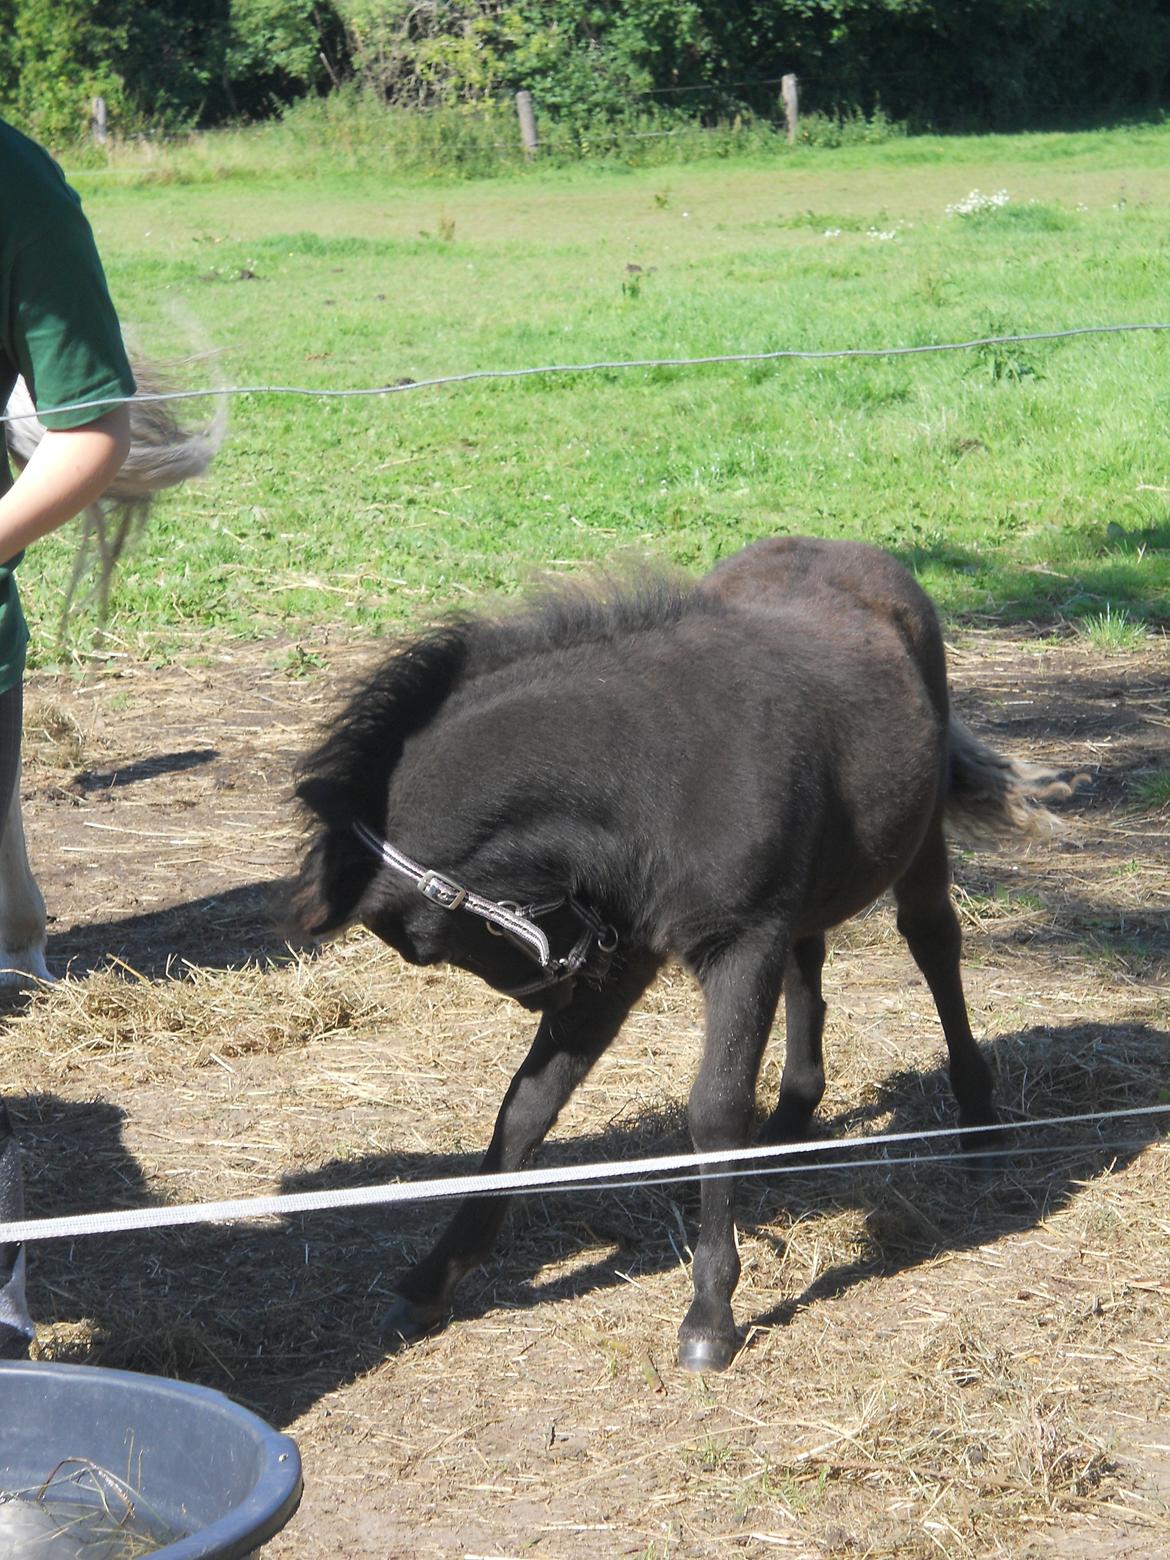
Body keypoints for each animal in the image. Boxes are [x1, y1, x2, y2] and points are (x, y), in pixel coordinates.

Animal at [287, 539, 1073, 1379]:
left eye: (429, 946)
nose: (552, 991)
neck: (651, 777)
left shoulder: (735, 946)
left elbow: (716, 1108)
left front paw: (710, 1314)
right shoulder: (626, 953)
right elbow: (527, 1107)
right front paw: (431, 1282)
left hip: (915, 848)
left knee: (933, 943)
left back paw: (979, 1127)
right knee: (809, 959)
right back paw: (791, 1123)